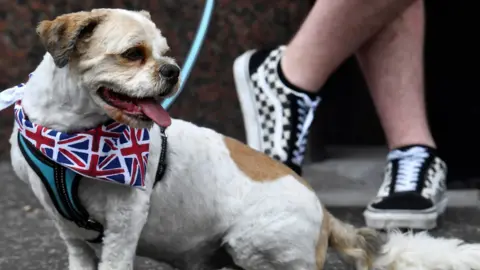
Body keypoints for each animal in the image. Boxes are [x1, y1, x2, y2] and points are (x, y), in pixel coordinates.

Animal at [6, 7, 480, 270]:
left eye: (165, 53)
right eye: (132, 54)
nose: (173, 71)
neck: (74, 140)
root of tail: (326, 216)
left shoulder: (123, 226)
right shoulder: (71, 235)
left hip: (252, 242)